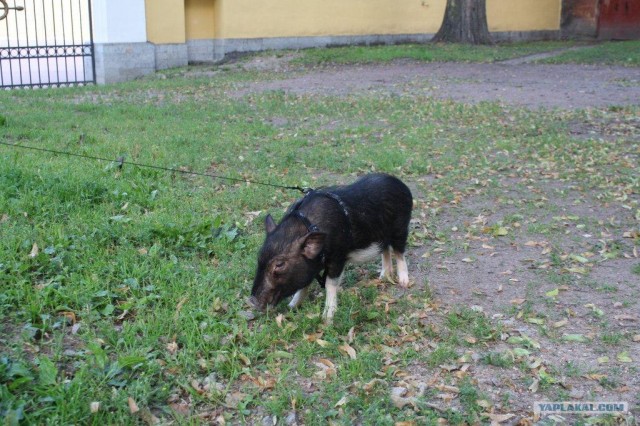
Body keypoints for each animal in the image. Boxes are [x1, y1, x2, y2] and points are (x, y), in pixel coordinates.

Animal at [248, 173, 412, 322]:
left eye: (280, 264)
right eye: (259, 258)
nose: (251, 301)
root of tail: (400, 184)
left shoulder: (338, 257)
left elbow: (330, 284)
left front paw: (327, 319)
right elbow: (304, 285)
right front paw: (291, 307)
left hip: (401, 227)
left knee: (399, 252)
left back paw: (404, 282)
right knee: (385, 250)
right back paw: (383, 277)